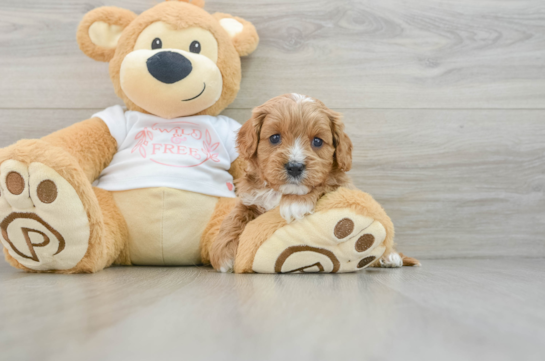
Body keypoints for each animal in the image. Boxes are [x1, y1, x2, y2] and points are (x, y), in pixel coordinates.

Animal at [208, 94, 412, 272]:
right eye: (275, 137)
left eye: (317, 141)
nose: (295, 167)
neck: (280, 192)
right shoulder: (251, 198)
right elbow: (234, 218)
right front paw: (223, 254)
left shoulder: (339, 184)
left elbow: (323, 183)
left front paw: (295, 203)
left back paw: (390, 257)